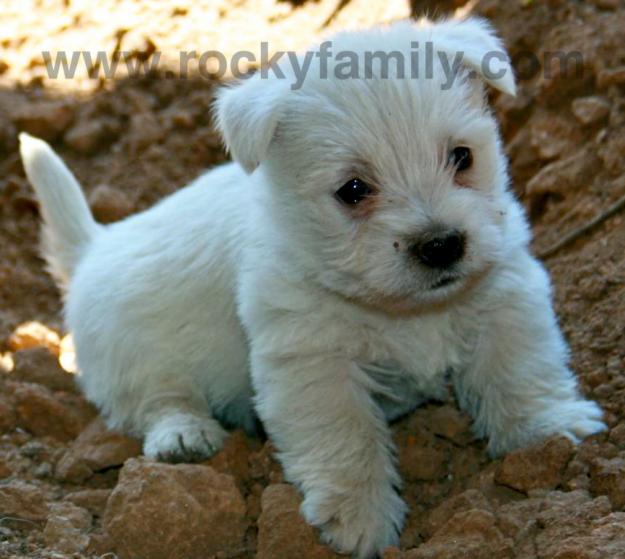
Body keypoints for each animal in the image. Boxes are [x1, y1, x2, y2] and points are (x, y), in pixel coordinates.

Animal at [20, 17, 604, 559]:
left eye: (462, 156)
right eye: (353, 189)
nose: (441, 245)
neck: (403, 308)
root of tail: (93, 248)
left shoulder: (506, 296)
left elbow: (521, 371)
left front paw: (551, 432)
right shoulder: (311, 363)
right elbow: (345, 436)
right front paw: (360, 517)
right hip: (134, 356)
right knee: (156, 400)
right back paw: (184, 436)